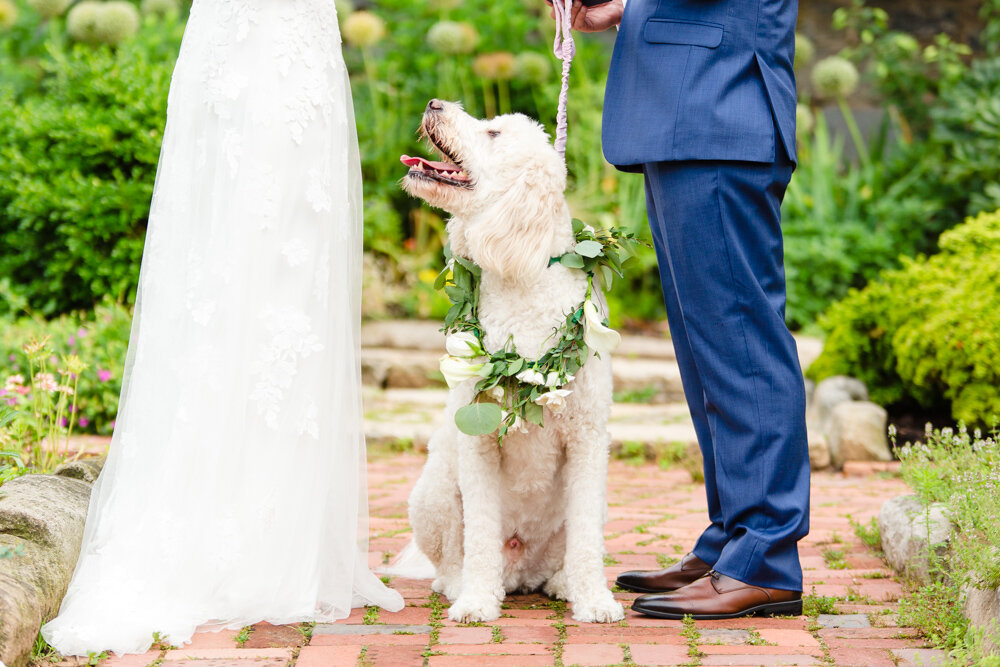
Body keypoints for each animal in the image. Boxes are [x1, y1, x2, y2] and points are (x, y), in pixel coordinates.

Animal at [398, 100, 624, 628]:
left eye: (494, 134)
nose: (435, 104)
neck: (524, 279)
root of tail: (521, 573)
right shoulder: (477, 445)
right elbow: (479, 535)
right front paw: (478, 602)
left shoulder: (588, 440)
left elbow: (587, 539)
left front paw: (595, 600)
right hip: (434, 493)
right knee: (452, 558)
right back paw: (462, 586)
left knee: (567, 551)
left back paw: (563, 584)